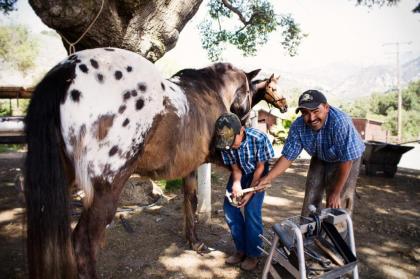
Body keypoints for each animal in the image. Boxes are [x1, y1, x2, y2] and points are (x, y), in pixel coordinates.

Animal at [24, 47, 288, 278]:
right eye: (273, 87)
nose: (285, 105)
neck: (213, 90)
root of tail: (68, 68)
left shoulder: (190, 166)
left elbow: (190, 200)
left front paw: (194, 241)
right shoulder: (217, 157)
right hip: (105, 191)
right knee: (83, 243)